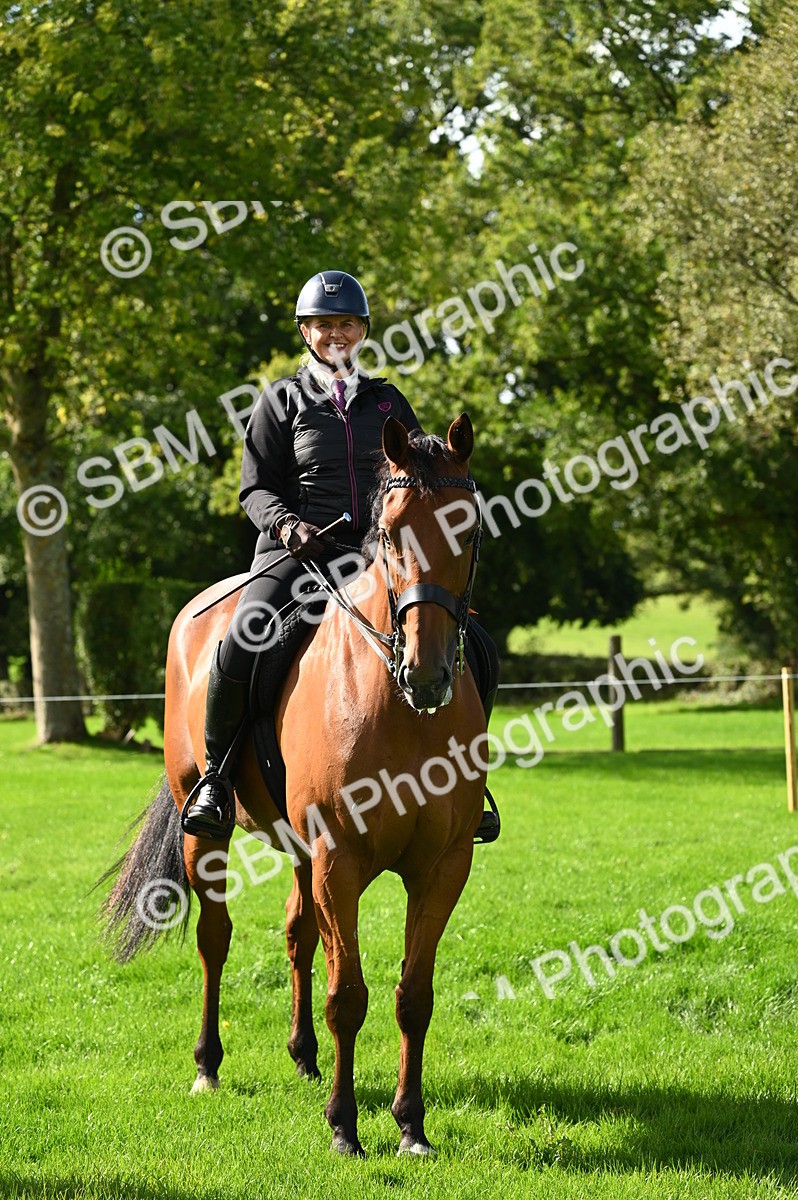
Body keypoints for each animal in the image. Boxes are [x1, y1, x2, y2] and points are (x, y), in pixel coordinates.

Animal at [103, 413, 488, 1157]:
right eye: (390, 532)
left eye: (469, 530)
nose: (427, 674)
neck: (394, 704)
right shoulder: (341, 858)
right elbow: (349, 996)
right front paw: (344, 1127)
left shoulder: (443, 864)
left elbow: (412, 996)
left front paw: (411, 1125)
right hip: (208, 831)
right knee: (215, 937)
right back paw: (208, 1066)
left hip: (303, 849)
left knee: (299, 934)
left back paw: (305, 1057)